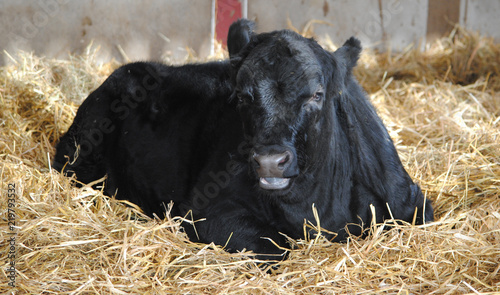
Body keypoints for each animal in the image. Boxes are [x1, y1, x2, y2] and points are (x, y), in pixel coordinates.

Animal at [52, 19, 432, 260]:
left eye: (317, 94)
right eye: (242, 96)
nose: (269, 161)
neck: (314, 206)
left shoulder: (412, 203)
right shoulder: (208, 212)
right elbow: (275, 248)